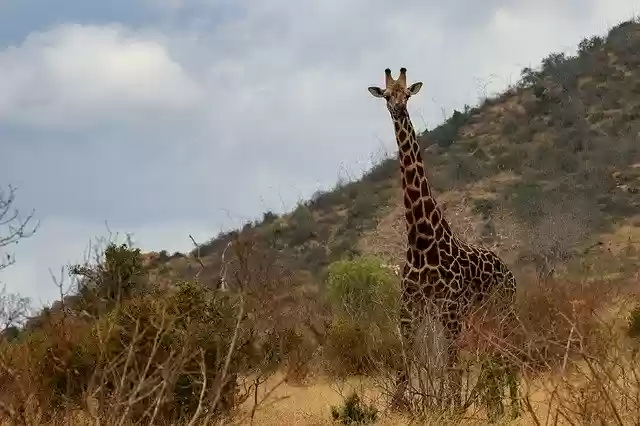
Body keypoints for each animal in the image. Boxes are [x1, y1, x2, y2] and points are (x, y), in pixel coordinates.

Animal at [367, 68, 518, 415]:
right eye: (386, 95)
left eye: (407, 93)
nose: (398, 110)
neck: (421, 238)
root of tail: (508, 271)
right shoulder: (411, 306)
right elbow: (409, 358)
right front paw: (402, 405)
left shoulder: (449, 308)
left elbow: (450, 363)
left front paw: (453, 407)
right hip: (481, 315)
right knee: (495, 352)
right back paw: (499, 406)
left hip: (502, 307)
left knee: (508, 351)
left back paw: (512, 407)